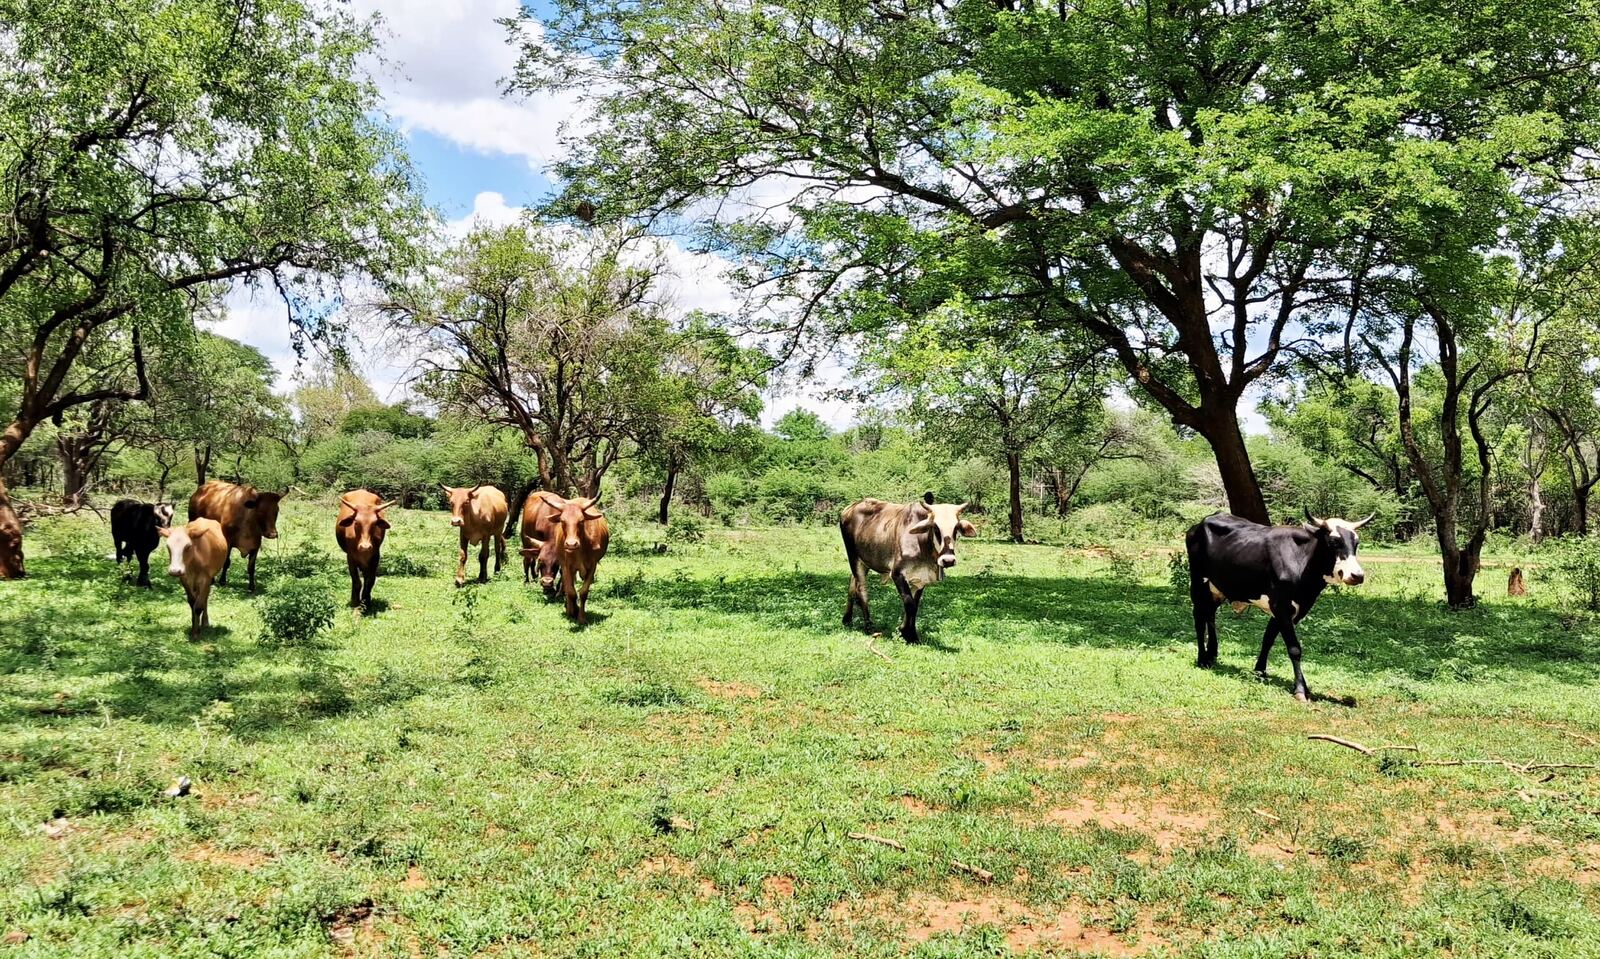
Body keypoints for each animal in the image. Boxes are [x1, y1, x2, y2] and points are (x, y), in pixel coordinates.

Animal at [521, 494, 608, 624]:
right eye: (562, 521)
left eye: (581, 521)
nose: (571, 544)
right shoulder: (566, 565)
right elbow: (570, 591)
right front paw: (570, 611)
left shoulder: (592, 566)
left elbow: (583, 592)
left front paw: (581, 617)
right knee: (527, 561)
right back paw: (528, 581)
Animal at [840, 492, 975, 644]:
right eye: (935, 527)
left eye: (956, 528)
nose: (948, 560)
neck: (922, 544)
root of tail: (850, 508)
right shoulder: (897, 574)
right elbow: (909, 603)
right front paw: (907, 633)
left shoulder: (922, 578)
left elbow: (915, 605)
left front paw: (910, 633)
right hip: (853, 557)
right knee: (861, 589)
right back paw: (868, 626)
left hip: (865, 560)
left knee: (852, 584)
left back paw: (847, 619)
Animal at [1186, 510, 1372, 701]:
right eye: (1334, 541)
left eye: (1356, 542)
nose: (1357, 575)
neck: (1301, 561)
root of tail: (1203, 521)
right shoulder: (1281, 606)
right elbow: (1294, 648)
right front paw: (1300, 689)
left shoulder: (1296, 610)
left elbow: (1268, 639)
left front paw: (1261, 671)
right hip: (1198, 582)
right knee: (1199, 618)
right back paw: (1202, 658)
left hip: (1218, 588)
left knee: (1210, 615)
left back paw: (1212, 654)